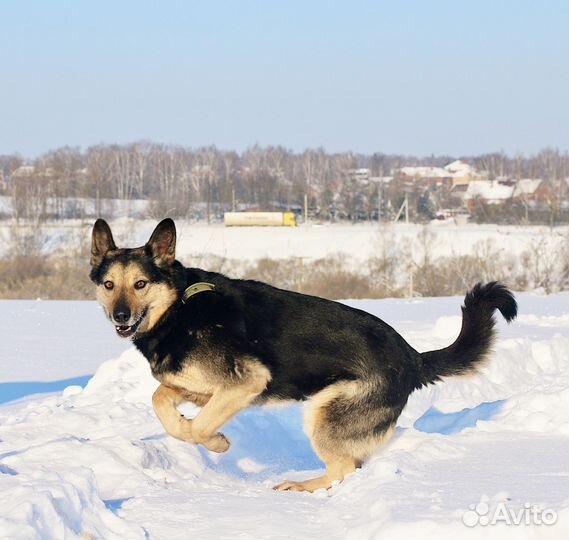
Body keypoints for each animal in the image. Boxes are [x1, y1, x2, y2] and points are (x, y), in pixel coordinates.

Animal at [87, 219, 516, 494]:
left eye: (140, 284)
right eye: (109, 285)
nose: (120, 317)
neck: (178, 309)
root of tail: (412, 356)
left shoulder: (246, 382)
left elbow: (196, 426)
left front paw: (218, 443)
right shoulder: (200, 388)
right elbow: (161, 400)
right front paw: (193, 430)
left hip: (324, 415)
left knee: (344, 468)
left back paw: (302, 485)